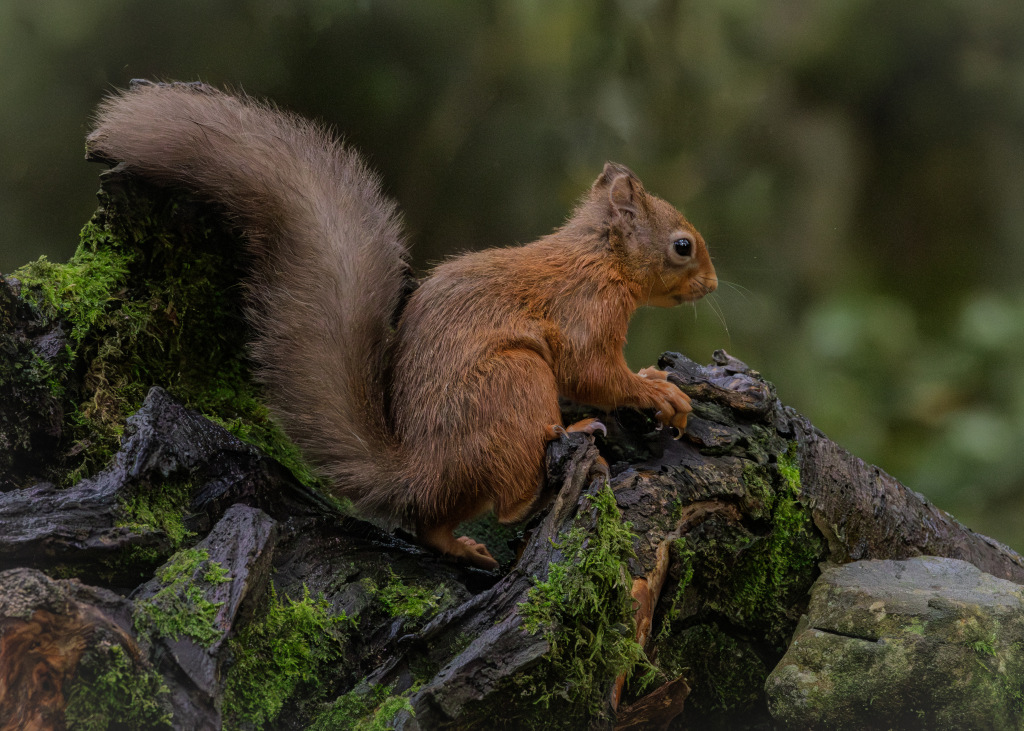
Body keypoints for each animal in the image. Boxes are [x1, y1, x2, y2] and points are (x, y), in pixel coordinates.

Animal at [86, 81, 717, 570]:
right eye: (683, 246)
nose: (712, 286)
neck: (600, 257)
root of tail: (424, 467)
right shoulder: (586, 310)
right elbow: (592, 373)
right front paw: (655, 391)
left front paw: (652, 380)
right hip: (514, 381)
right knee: (509, 500)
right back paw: (566, 452)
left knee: (431, 524)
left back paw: (463, 547)